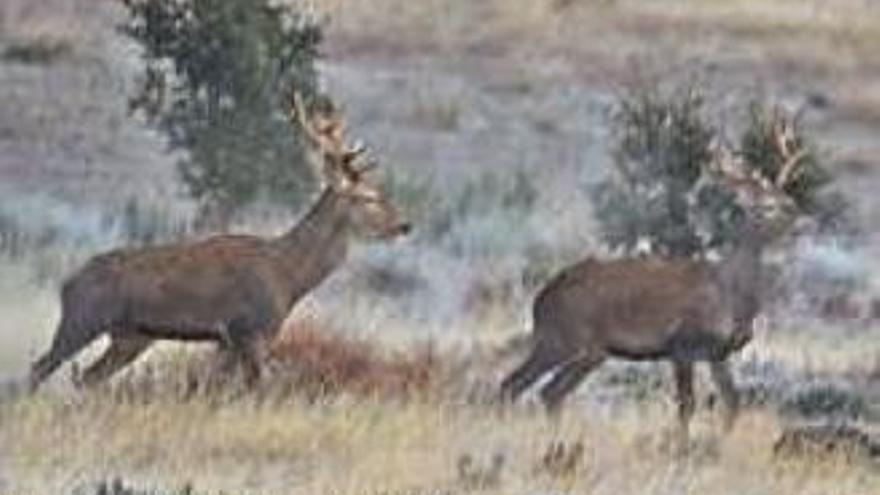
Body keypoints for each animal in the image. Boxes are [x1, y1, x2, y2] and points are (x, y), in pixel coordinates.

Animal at [28, 92, 412, 392]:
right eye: (368, 197)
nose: (405, 224)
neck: (288, 276)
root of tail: (67, 283)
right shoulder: (251, 330)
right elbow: (258, 391)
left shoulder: (228, 341)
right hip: (82, 318)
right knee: (39, 368)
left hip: (130, 336)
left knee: (87, 378)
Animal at [498, 122, 808, 440]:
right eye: (767, 206)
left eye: (786, 198)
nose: (799, 215)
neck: (730, 293)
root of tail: (540, 300)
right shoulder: (683, 344)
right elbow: (686, 405)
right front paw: (684, 444)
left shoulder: (718, 353)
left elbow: (733, 402)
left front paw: (721, 441)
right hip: (567, 339)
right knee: (524, 387)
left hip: (585, 349)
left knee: (540, 390)